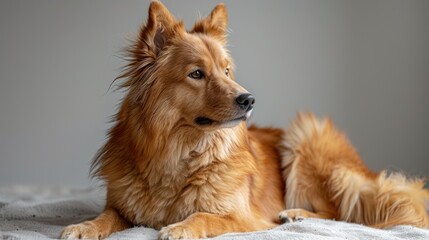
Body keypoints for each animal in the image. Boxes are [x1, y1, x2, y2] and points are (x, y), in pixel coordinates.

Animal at [61, 0, 428, 239]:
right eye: (197, 74)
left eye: (226, 71)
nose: (249, 99)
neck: (178, 153)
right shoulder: (122, 208)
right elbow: (106, 216)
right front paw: (83, 227)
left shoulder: (245, 218)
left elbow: (205, 216)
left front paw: (179, 227)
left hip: (305, 139)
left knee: (340, 212)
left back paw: (295, 214)